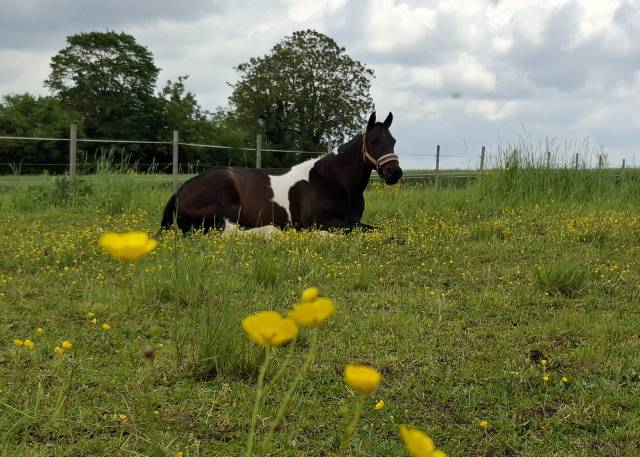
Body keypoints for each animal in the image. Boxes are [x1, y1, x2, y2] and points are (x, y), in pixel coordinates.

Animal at [160, 112, 402, 233]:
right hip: (227, 207)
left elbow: (381, 231)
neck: (330, 181)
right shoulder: (323, 221)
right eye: (374, 141)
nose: (394, 173)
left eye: (393, 141)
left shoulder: (353, 221)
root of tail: (179, 192)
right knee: (231, 232)